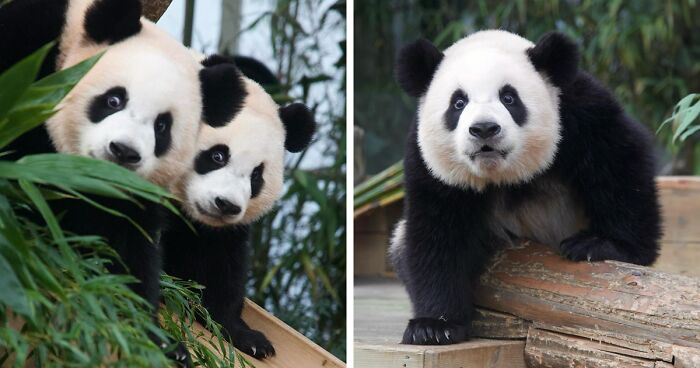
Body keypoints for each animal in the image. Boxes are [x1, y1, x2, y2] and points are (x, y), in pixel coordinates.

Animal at [0, 0, 246, 362]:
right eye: (114, 100)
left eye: (162, 127)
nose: (123, 151)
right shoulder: (30, 47)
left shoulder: (134, 191)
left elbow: (130, 244)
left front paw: (156, 339)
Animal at [160, 55, 316, 360]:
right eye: (218, 155)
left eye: (256, 175)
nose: (226, 205)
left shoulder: (224, 231)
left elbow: (223, 269)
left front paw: (248, 337)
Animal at [392, 30, 660, 344]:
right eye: (458, 103)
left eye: (509, 98)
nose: (484, 129)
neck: (504, 174)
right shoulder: (428, 162)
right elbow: (437, 234)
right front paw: (434, 326)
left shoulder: (577, 110)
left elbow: (618, 161)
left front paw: (603, 244)